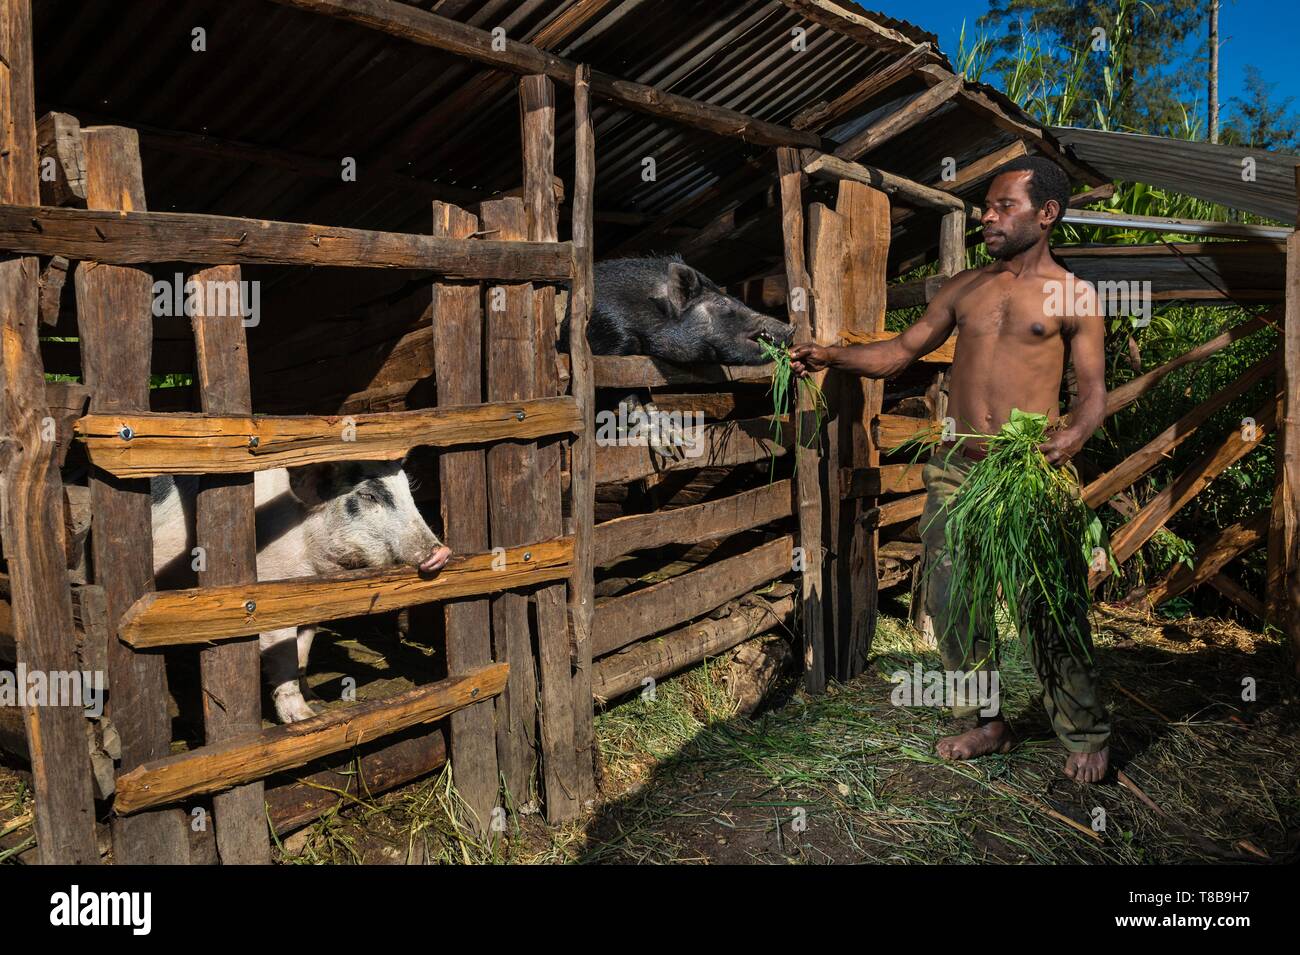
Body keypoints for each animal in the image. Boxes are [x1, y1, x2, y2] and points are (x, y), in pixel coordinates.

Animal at [148, 462, 447, 722]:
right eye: (367, 495)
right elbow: (285, 659)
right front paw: (305, 718)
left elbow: (302, 653)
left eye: (408, 491)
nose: (442, 551)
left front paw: (317, 702)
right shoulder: (271, 590)